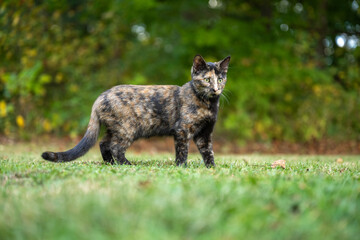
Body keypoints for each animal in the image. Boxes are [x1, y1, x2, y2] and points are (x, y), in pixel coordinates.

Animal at [40, 54, 229, 167]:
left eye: (220, 79)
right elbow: (182, 151)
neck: (208, 104)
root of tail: (101, 96)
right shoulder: (182, 130)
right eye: (207, 79)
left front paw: (211, 168)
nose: (215, 89)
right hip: (127, 129)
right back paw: (125, 164)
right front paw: (182, 167)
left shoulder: (205, 133)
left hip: (115, 128)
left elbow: (208, 151)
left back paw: (111, 163)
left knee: (104, 143)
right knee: (115, 146)